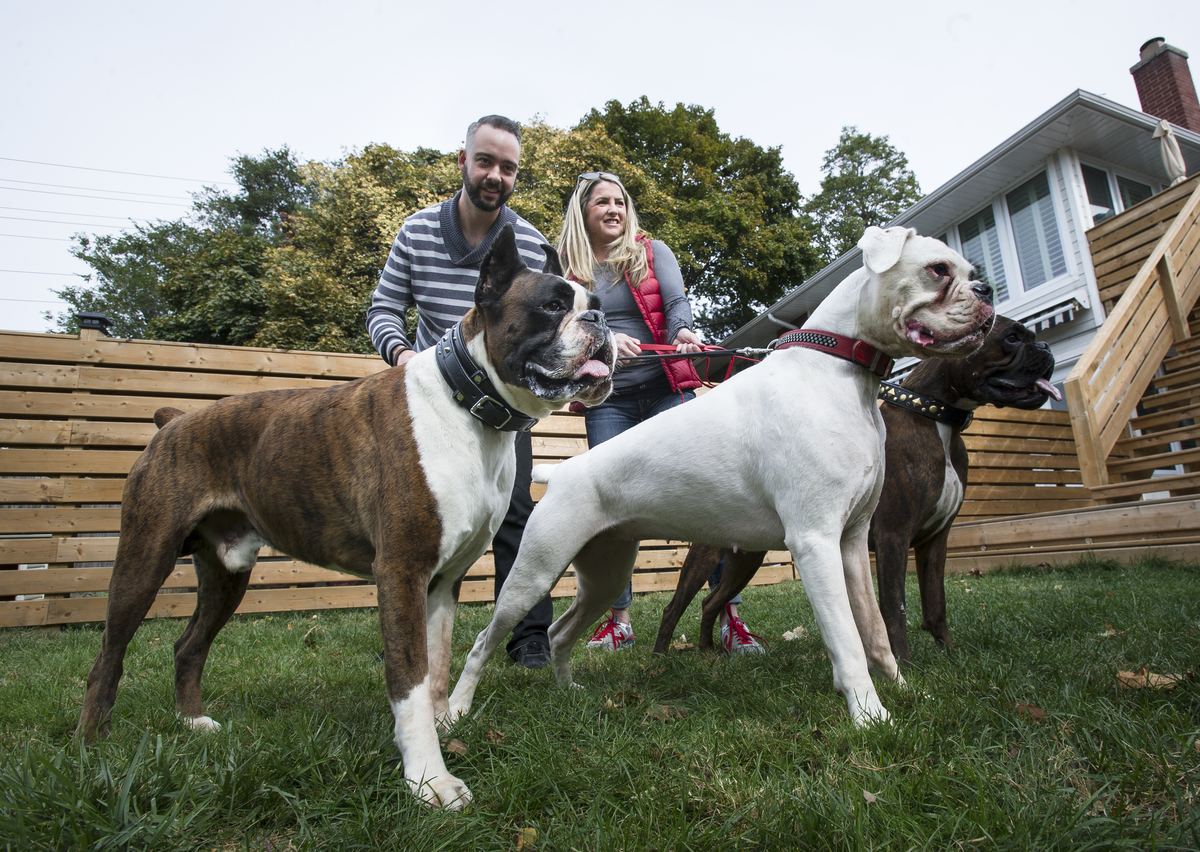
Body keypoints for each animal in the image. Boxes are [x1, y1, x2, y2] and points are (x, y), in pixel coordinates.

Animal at [75, 223, 619, 811]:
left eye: (594, 307)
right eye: (551, 306)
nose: (600, 323)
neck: (468, 405)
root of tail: (174, 419)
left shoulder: (442, 583)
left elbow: (435, 669)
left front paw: (440, 733)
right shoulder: (402, 573)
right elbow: (409, 678)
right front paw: (428, 779)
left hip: (227, 574)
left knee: (188, 645)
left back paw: (192, 723)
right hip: (144, 559)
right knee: (107, 657)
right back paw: (92, 747)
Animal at [448, 225, 993, 729]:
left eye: (967, 270)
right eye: (938, 270)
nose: (985, 289)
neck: (836, 371)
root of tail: (562, 471)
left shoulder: (855, 544)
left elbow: (876, 630)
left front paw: (903, 692)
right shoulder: (816, 541)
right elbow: (848, 638)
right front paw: (869, 716)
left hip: (605, 576)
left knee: (562, 632)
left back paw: (569, 692)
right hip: (532, 575)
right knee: (483, 641)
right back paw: (454, 712)